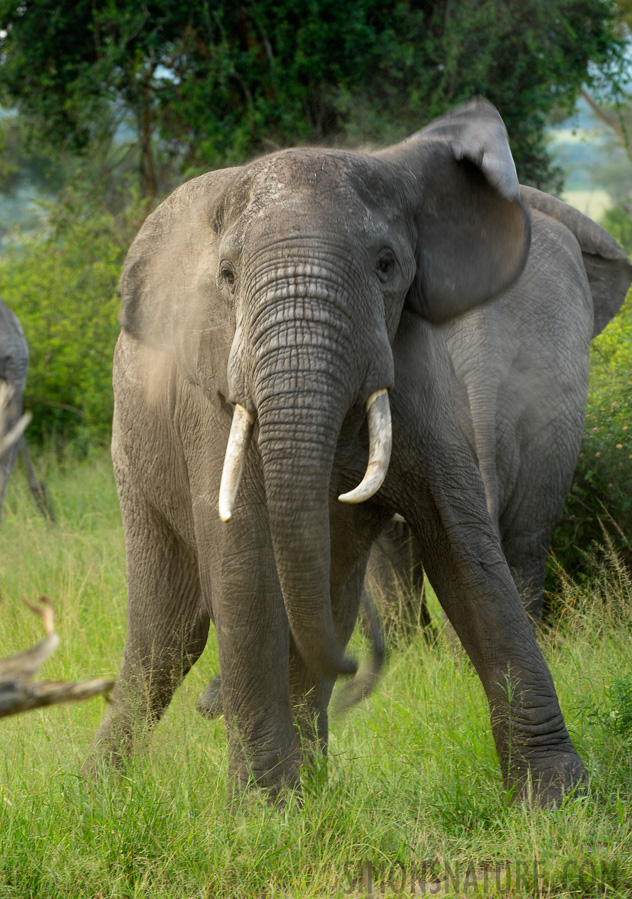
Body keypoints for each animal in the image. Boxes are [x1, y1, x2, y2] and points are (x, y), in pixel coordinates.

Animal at [86, 100, 592, 808]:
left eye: (385, 265)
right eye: (227, 277)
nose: (365, 673)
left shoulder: (420, 370)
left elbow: (466, 550)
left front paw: (557, 802)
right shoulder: (209, 397)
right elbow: (242, 566)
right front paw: (264, 813)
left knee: (317, 612)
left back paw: (317, 785)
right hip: (132, 456)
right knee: (167, 636)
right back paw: (97, 792)